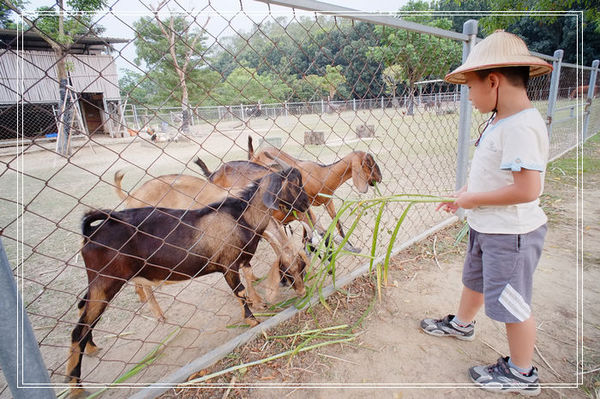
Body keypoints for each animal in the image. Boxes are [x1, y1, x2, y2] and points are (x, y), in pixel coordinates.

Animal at [113, 170, 310, 320]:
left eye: (302, 268)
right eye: (286, 272)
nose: (302, 293)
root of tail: (132, 195)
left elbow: (248, 269)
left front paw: (255, 296)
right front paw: (256, 301)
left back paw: (141, 296)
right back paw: (158, 313)